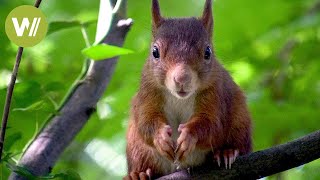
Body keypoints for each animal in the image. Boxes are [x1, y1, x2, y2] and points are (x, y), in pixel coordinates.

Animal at [125, 0, 252, 179]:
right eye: (155, 52)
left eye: (208, 52)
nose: (182, 79)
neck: (179, 98)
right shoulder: (148, 91)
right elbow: (146, 120)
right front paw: (160, 137)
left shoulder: (215, 93)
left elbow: (212, 124)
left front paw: (189, 136)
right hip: (136, 146)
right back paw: (139, 174)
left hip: (240, 122)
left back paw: (226, 152)